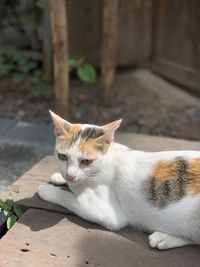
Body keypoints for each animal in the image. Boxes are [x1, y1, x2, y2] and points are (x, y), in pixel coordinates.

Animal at [38, 111, 200, 251]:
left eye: (86, 161)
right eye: (62, 157)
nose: (70, 175)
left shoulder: (108, 215)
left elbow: (71, 198)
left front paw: (47, 190)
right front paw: (59, 177)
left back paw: (164, 238)